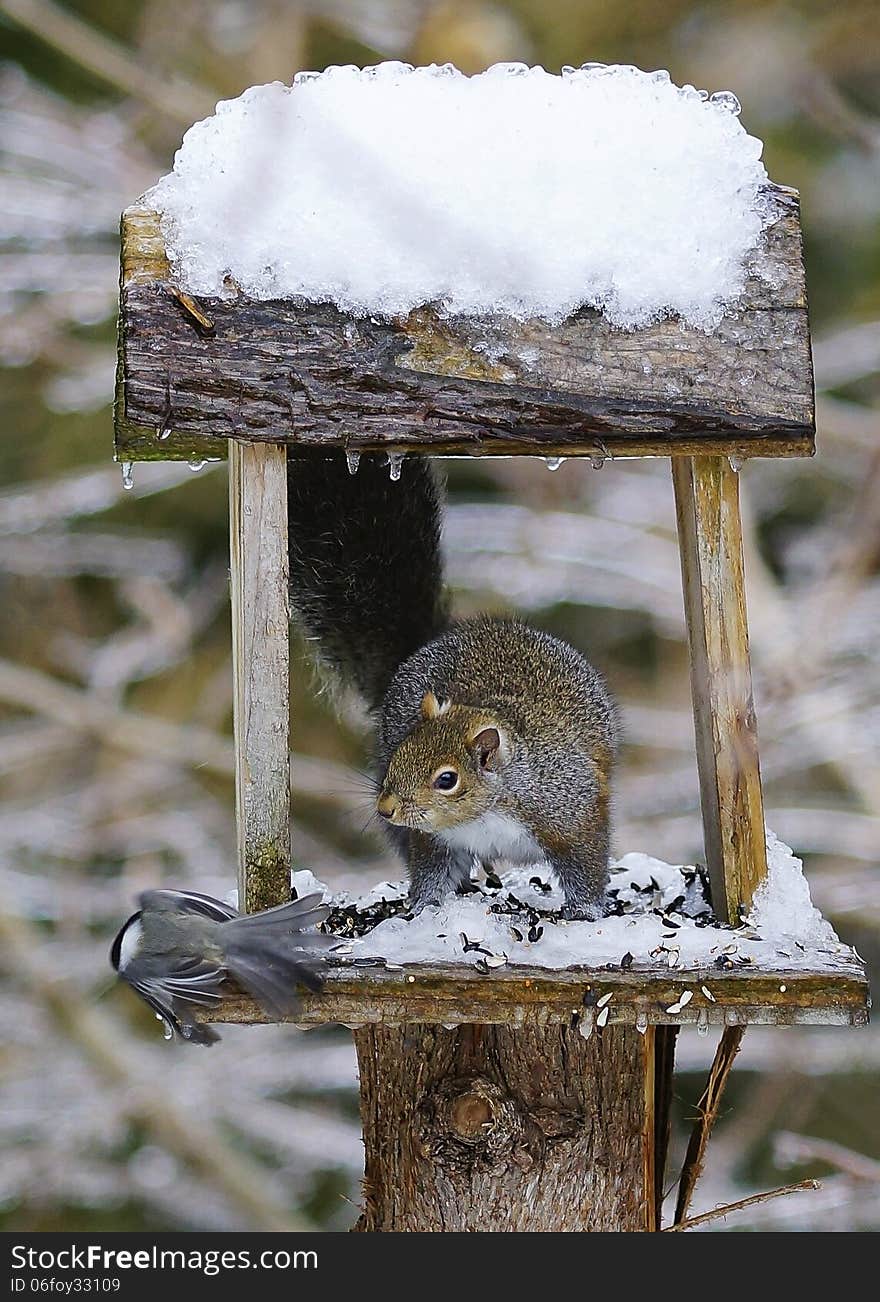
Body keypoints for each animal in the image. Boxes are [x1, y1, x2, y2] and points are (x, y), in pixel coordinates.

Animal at [285, 453, 614, 921]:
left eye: (447, 779)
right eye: (397, 756)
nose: (386, 808)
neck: (487, 811)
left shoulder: (571, 811)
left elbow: (585, 862)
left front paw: (585, 911)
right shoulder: (433, 838)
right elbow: (431, 870)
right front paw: (423, 908)